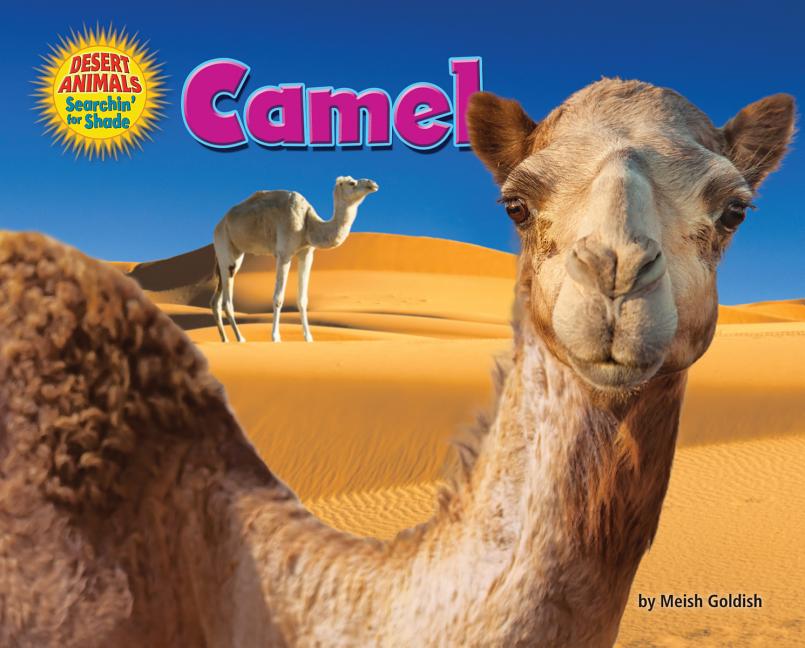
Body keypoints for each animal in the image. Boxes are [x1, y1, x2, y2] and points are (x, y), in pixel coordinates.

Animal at [211, 176, 379, 343]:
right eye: (352, 183)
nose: (372, 184)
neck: (308, 223)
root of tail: (219, 224)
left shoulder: (307, 253)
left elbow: (303, 299)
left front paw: (309, 338)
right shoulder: (284, 253)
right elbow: (278, 298)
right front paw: (275, 337)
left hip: (234, 254)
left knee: (216, 301)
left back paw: (225, 339)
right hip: (224, 244)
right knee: (227, 300)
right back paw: (240, 338)